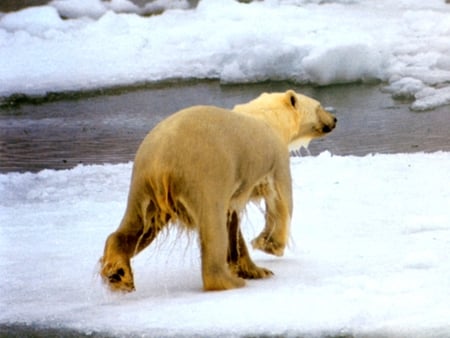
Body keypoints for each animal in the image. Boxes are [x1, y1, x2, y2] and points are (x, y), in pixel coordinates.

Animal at [100, 90, 336, 294]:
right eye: (319, 106)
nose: (335, 119)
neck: (268, 117)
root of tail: (162, 161)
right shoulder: (275, 157)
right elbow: (281, 199)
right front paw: (270, 245)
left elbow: (233, 221)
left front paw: (256, 269)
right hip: (205, 175)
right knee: (212, 229)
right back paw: (230, 281)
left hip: (142, 183)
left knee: (139, 225)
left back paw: (118, 273)